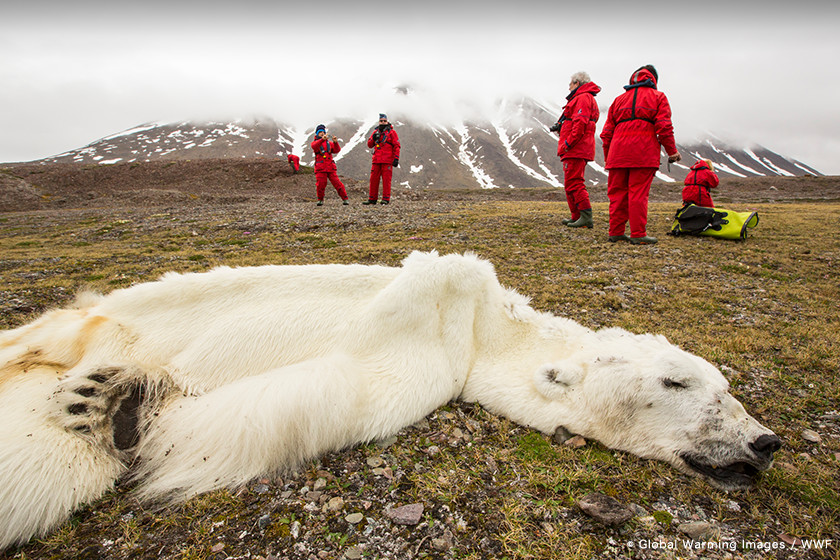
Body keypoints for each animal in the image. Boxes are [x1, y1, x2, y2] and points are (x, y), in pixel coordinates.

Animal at [0, 250, 780, 548]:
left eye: (725, 387)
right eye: (678, 381)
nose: (764, 441)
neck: (483, 329)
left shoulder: (428, 367)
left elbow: (303, 398)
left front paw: (128, 407)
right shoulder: (436, 321)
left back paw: (97, 402)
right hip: (98, 316)